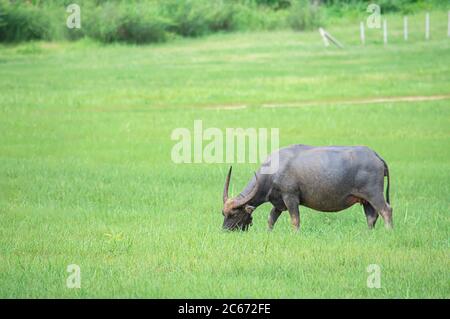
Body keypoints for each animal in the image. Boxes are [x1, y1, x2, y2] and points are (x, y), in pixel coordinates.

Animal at [223, 146, 392, 232]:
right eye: (223, 214)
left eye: (234, 214)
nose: (225, 230)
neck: (272, 171)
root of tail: (376, 156)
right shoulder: (278, 203)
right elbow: (271, 219)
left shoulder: (290, 197)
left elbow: (295, 220)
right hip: (366, 200)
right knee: (371, 217)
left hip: (374, 194)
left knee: (386, 210)